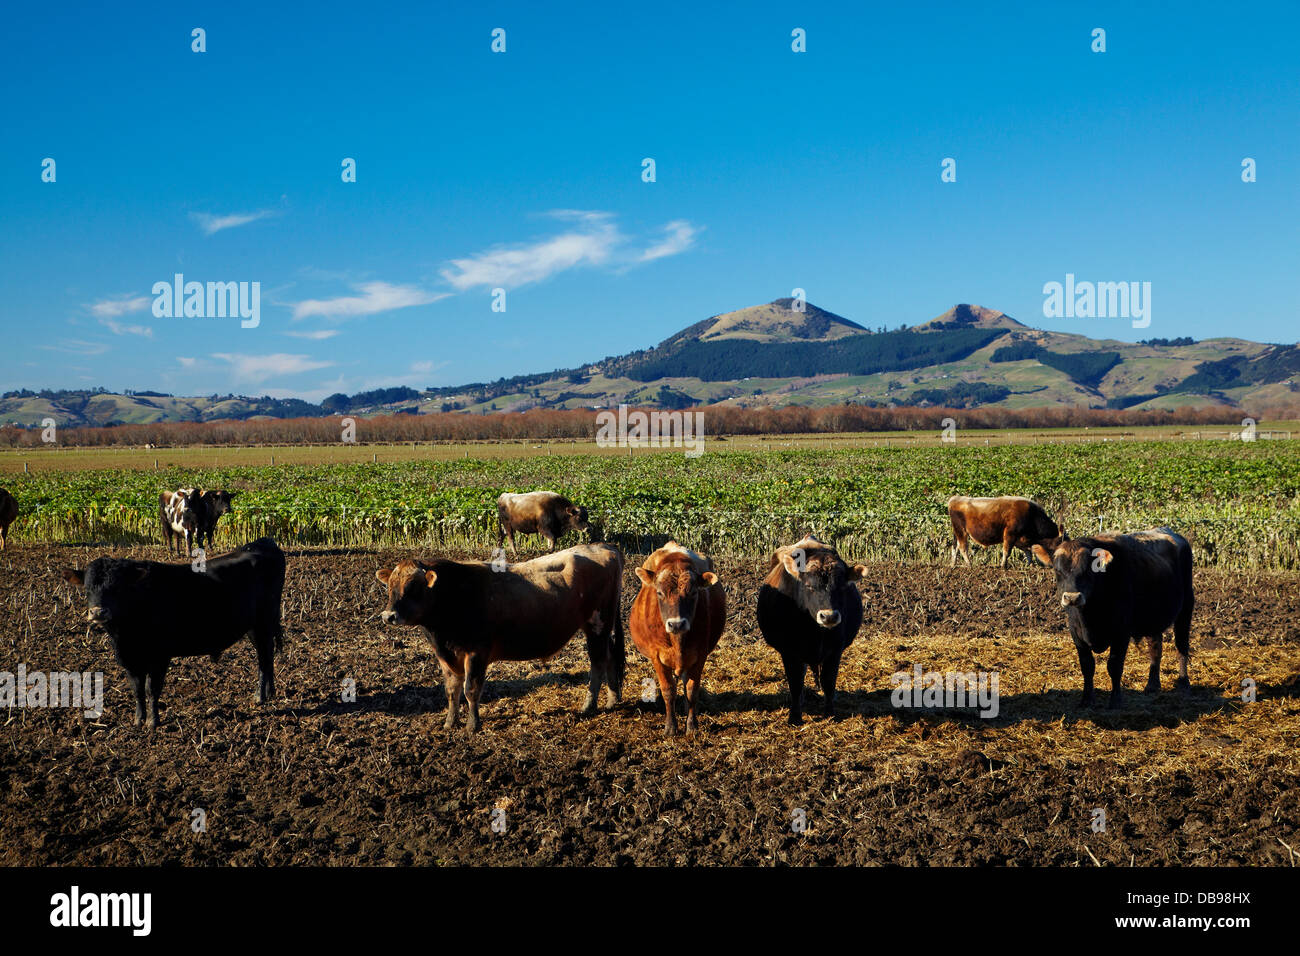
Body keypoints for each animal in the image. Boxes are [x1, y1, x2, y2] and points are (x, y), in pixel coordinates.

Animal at [61, 535, 284, 728]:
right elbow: (137, 690)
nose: (98, 612)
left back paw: (260, 696)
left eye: (117, 587)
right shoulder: (129, 660)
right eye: (87, 589)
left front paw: (153, 722)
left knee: (264, 657)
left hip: (264, 623)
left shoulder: (160, 657)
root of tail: (262, 543)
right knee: (267, 655)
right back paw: (270, 692)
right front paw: (138, 720)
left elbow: (152, 689)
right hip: (254, 627)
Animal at [377, 541, 624, 738]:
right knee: (611, 656)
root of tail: (603, 546)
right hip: (602, 626)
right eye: (390, 586)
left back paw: (589, 706)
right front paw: (449, 723)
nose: (388, 616)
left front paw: (472, 726)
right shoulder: (446, 657)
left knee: (598, 662)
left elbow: (470, 689)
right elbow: (451, 691)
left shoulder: (476, 653)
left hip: (598, 623)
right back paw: (613, 700)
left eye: (413, 586)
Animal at [631, 541, 728, 738]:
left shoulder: (700, 655)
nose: (676, 624)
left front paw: (692, 726)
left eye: (693, 593)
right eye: (659, 593)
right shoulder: (656, 657)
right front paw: (670, 727)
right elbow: (668, 690)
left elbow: (691, 690)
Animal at [759, 538, 868, 723]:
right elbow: (795, 682)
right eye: (809, 586)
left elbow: (828, 681)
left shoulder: (835, 649)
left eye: (841, 587)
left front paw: (830, 713)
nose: (829, 616)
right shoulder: (789, 652)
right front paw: (795, 717)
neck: (815, 632)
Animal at [1029, 528, 1190, 707]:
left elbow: (1114, 666)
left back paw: (1183, 681)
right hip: (1152, 618)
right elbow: (1087, 666)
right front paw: (1086, 699)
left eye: (1088, 570)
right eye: (1058, 570)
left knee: (1182, 644)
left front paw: (1115, 700)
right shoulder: (1076, 633)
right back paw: (1152, 685)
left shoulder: (1122, 633)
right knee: (1155, 647)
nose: (1072, 597)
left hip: (1186, 606)